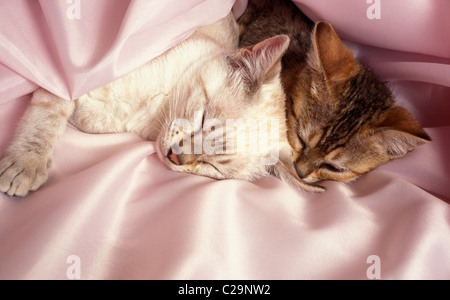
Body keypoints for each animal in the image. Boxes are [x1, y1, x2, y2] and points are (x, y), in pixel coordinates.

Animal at [0, 13, 324, 197]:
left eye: (212, 167)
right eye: (203, 121)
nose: (175, 157)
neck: (151, 118)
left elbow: (89, 118)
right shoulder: (74, 76)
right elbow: (50, 114)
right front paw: (26, 164)